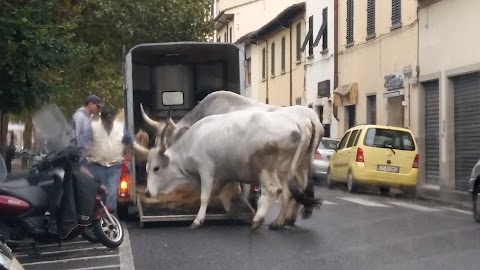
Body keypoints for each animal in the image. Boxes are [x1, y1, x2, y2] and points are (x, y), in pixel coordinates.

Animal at [139, 90, 326, 226]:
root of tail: (309, 120)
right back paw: (288, 219)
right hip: (302, 164)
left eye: (167, 141)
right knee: (301, 188)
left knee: (289, 192)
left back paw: (277, 222)